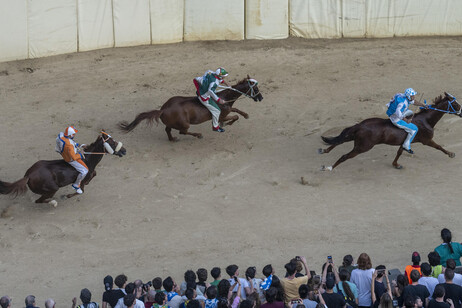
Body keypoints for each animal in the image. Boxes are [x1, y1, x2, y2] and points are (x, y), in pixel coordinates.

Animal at [119, 76, 264, 141]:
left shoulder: (227, 109)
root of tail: (163, 109)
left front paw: (246, 115)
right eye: (256, 89)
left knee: (168, 130)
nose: (261, 98)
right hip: (185, 124)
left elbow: (237, 112)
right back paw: (198, 135)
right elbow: (234, 116)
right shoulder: (221, 115)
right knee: (182, 132)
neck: (223, 96)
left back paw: (172, 139)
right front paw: (226, 124)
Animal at [320, 93, 460, 171]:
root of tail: (360, 125)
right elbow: (439, 146)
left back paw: (324, 150)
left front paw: (396, 164)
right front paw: (451, 153)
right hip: (363, 147)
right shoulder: (427, 140)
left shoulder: (405, 141)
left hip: (355, 139)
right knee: (344, 156)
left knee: (340, 140)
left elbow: (399, 152)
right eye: (456, 105)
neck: (426, 120)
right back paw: (329, 167)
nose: (461, 112)